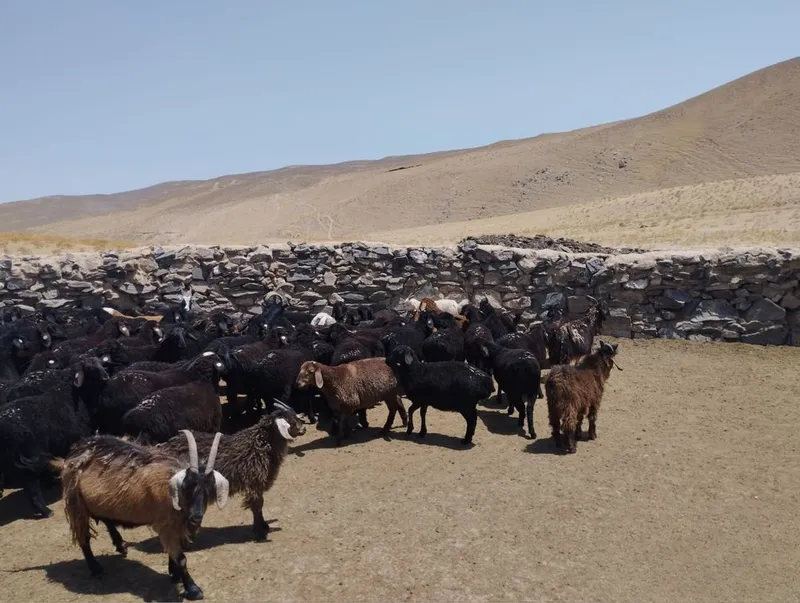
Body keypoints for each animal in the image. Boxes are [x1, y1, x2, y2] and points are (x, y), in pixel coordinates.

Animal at [0, 356, 109, 517]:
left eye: (102, 364)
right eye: (90, 368)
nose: (106, 377)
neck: (74, 396)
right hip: (26, 458)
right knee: (31, 488)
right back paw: (46, 511)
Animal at [55, 429, 228, 600]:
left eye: (210, 489)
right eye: (187, 486)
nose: (196, 517)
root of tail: (76, 450)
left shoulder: (177, 524)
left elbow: (175, 552)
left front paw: (174, 574)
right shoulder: (164, 524)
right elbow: (181, 558)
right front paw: (193, 589)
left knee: (107, 520)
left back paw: (121, 545)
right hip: (76, 504)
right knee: (83, 537)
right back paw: (96, 568)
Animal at [156, 401, 306, 542]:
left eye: (295, 416)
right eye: (290, 421)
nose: (304, 428)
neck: (257, 446)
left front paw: (264, 526)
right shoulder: (254, 482)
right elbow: (257, 506)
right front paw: (260, 532)